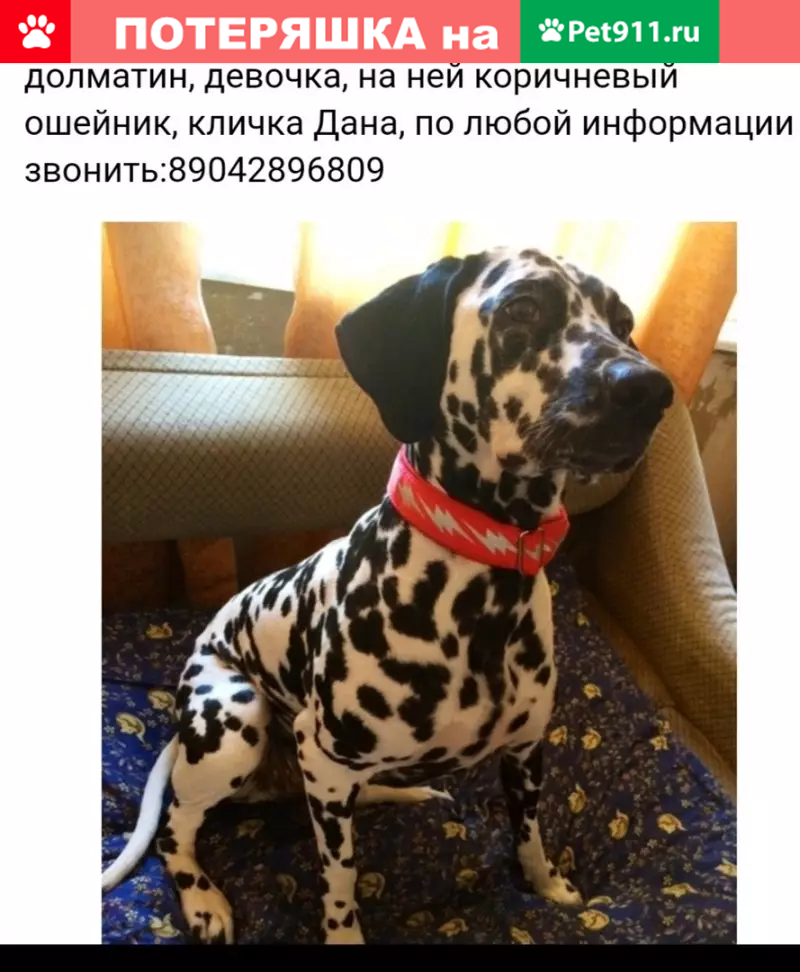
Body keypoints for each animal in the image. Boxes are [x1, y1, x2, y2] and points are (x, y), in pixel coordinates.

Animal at [102, 247, 674, 944]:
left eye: (624, 322)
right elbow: (341, 880)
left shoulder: (525, 751)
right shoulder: (325, 766)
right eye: (523, 307)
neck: (486, 590)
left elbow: (530, 836)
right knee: (177, 827)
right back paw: (203, 897)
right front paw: (343, 930)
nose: (650, 389)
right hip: (236, 722)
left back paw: (407, 792)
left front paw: (548, 888)